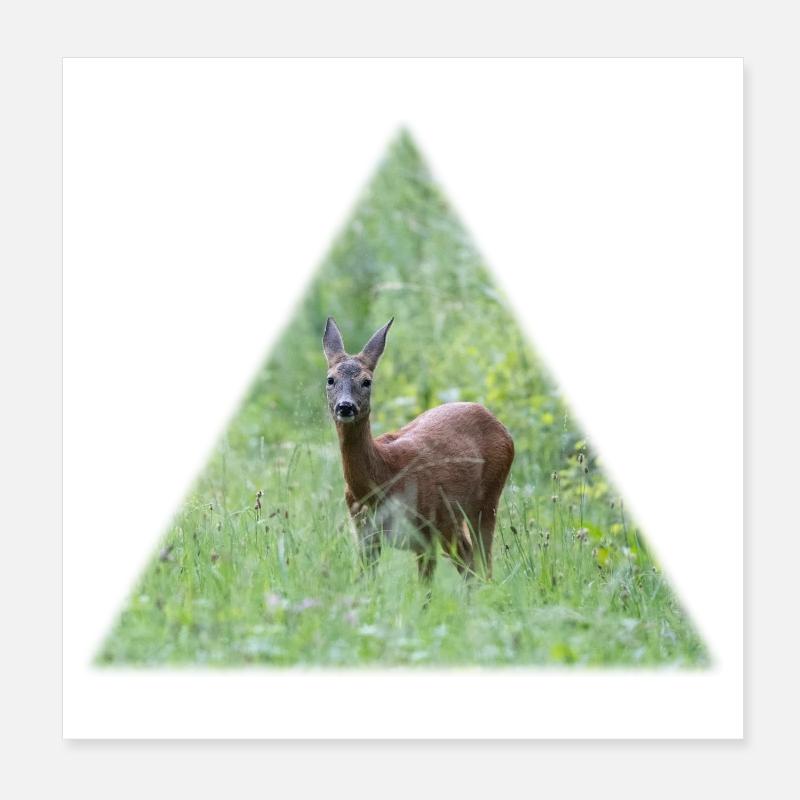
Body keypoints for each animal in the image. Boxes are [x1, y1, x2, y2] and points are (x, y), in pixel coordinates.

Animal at [323, 316, 515, 583]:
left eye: (366, 381)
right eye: (330, 379)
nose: (345, 406)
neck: (383, 476)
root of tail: (500, 424)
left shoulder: (425, 532)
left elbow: (425, 588)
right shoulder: (364, 533)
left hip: (485, 499)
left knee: (482, 560)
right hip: (452, 520)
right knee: (468, 559)